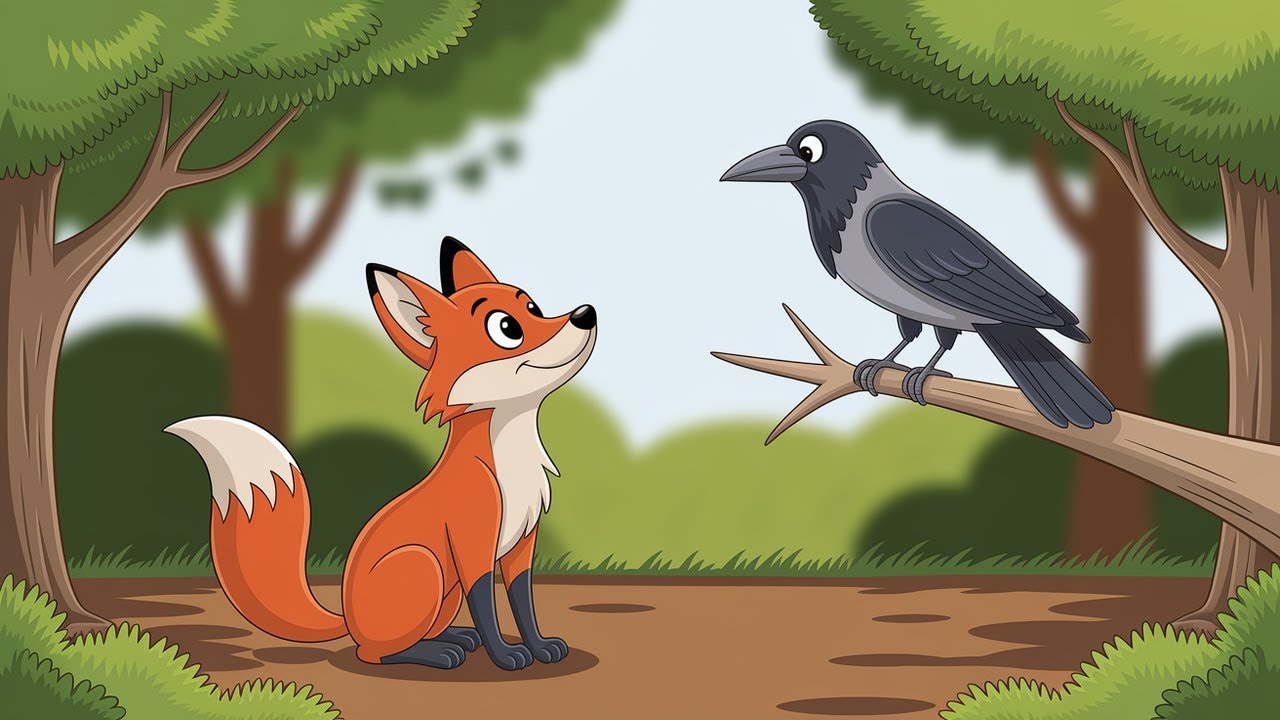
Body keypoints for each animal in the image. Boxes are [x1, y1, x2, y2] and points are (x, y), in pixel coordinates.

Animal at [165, 237, 597, 670]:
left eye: (533, 307)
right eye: (507, 328)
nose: (586, 314)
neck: (509, 453)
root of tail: (346, 616)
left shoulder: (522, 542)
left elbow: (523, 603)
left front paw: (539, 647)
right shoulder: (473, 542)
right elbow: (487, 608)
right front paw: (506, 655)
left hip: (445, 592)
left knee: (417, 634)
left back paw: (454, 637)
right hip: (424, 565)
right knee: (373, 652)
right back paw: (437, 653)